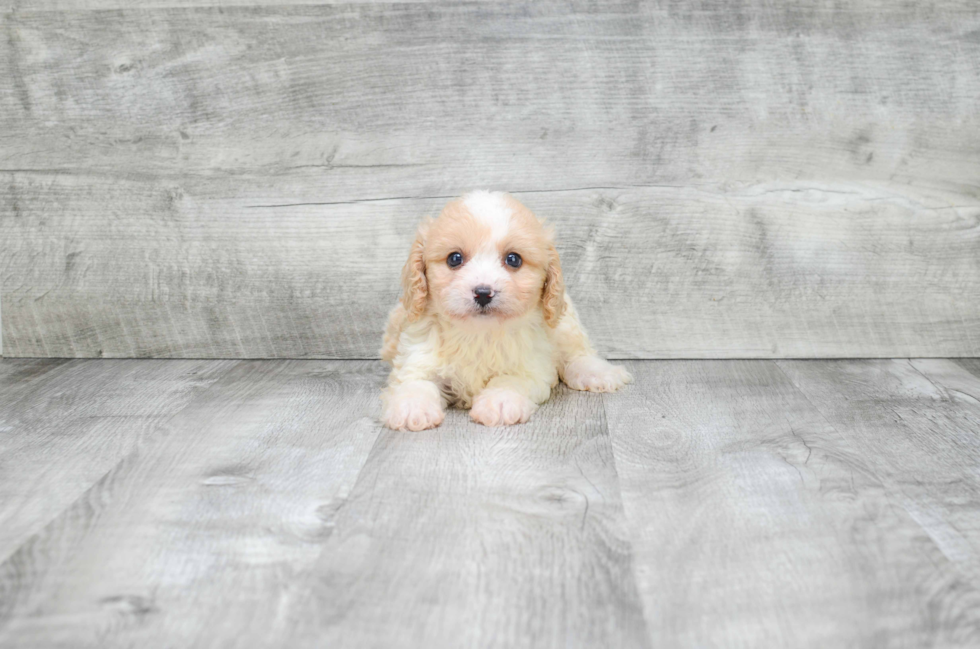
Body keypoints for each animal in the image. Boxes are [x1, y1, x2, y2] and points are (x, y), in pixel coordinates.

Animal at [378, 189, 632, 430]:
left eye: (513, 259)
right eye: (454, 258)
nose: (483, 293)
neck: (477, 333)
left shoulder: (530, 365)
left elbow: (510, 380)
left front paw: (499, 403)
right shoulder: (417, 355)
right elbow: (416, 382)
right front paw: (412, 409)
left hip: (565, 324)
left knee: (576, 354)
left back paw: (598, 373)